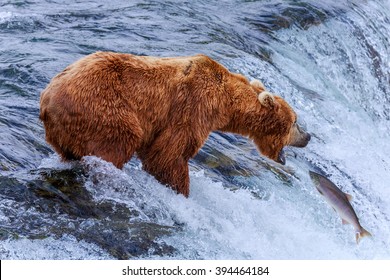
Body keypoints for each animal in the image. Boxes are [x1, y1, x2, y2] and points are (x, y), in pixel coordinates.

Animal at [39, 51, 310, 196]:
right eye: (295, 121)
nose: (308, 137)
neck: (225, 104)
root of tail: (46, 99)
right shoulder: (193, 108)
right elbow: (169, 155)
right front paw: (180, 189)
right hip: (102, 108)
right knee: (118, 142)